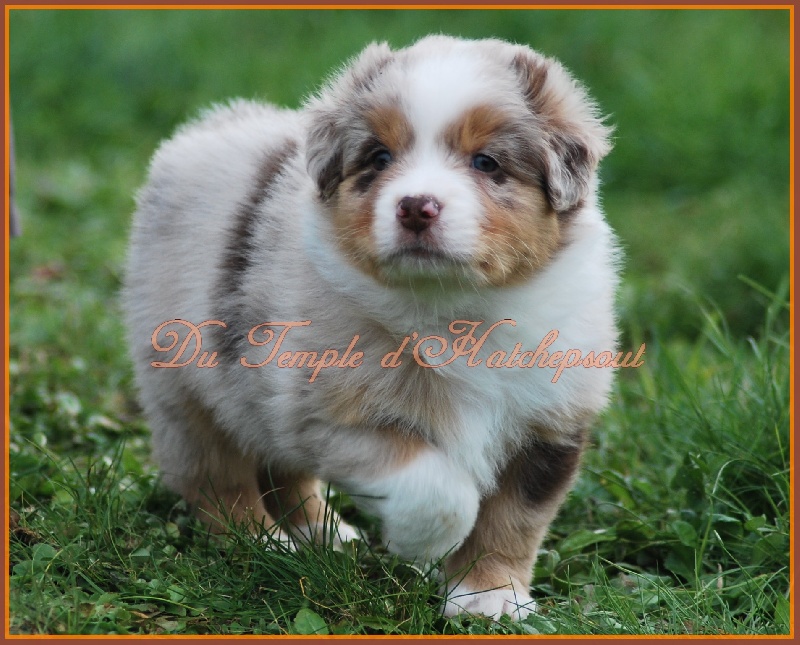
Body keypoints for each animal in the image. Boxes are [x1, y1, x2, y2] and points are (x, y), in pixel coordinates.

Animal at [125, 36, 620, 620]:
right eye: (379, 157)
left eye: (487, 162)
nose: (416, 207)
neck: (455, 310)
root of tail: (205, 129)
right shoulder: (330, 412)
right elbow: (437, 489)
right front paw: (427, 546)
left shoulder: (551, 422)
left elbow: (515, 519)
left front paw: (490, 597)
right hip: (188, 384)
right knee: (215, 479)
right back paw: (263, 542)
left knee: (281, 469)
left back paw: (322, 534)